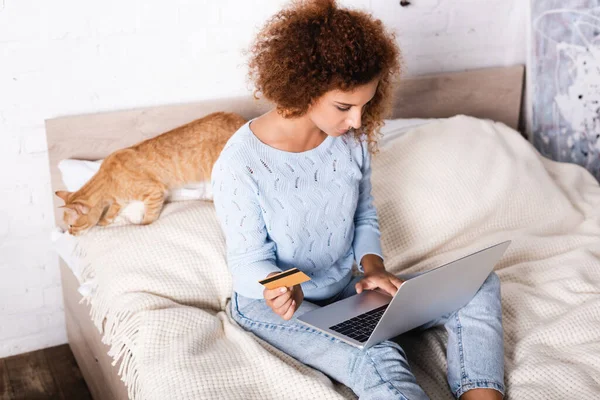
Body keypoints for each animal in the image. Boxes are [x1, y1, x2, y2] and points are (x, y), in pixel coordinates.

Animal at [54, 111, 246, 236]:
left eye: (71, 225)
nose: (69, 234)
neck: (108, 180)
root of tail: (240, 119)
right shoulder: (119, 201)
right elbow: (112, 211)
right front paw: (104, 220)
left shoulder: (155, 192)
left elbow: (149, 217)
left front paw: (143, 225)